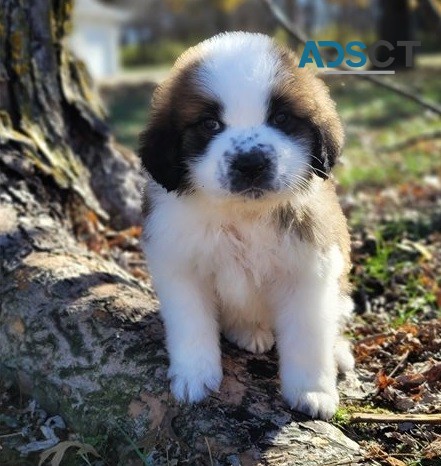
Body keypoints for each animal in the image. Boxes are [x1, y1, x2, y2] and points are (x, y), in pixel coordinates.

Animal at [139, 31, 352, 418]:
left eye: (281, 118)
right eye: (210, 124)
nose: (251, 163)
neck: (243, 216)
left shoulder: (310, 272)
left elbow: (309, 336)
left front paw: (312, 390)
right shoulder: (179, 266)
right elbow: (191, 324)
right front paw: (194, 375)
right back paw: (249, 331)